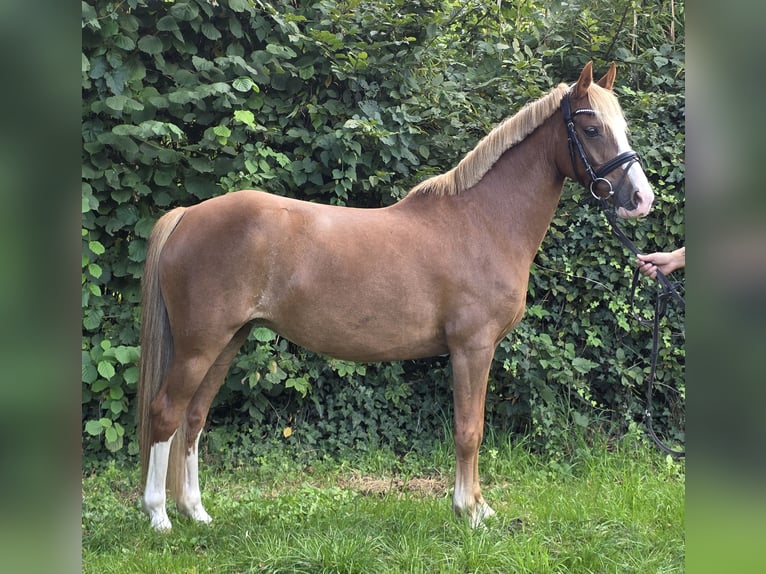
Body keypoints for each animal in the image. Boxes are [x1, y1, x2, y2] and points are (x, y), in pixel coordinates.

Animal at [137, 62, 654, 531]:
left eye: (623, 127)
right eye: (592, 128)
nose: (641, 199)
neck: (482, 221)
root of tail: (187, 215)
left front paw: (477, 506)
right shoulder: (472, 348)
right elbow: (470, 430)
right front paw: (470, 512)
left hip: (228, 341)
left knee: (194, 418)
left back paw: (196, 512)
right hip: (200, 345)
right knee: (165, 414)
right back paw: (159, 516)